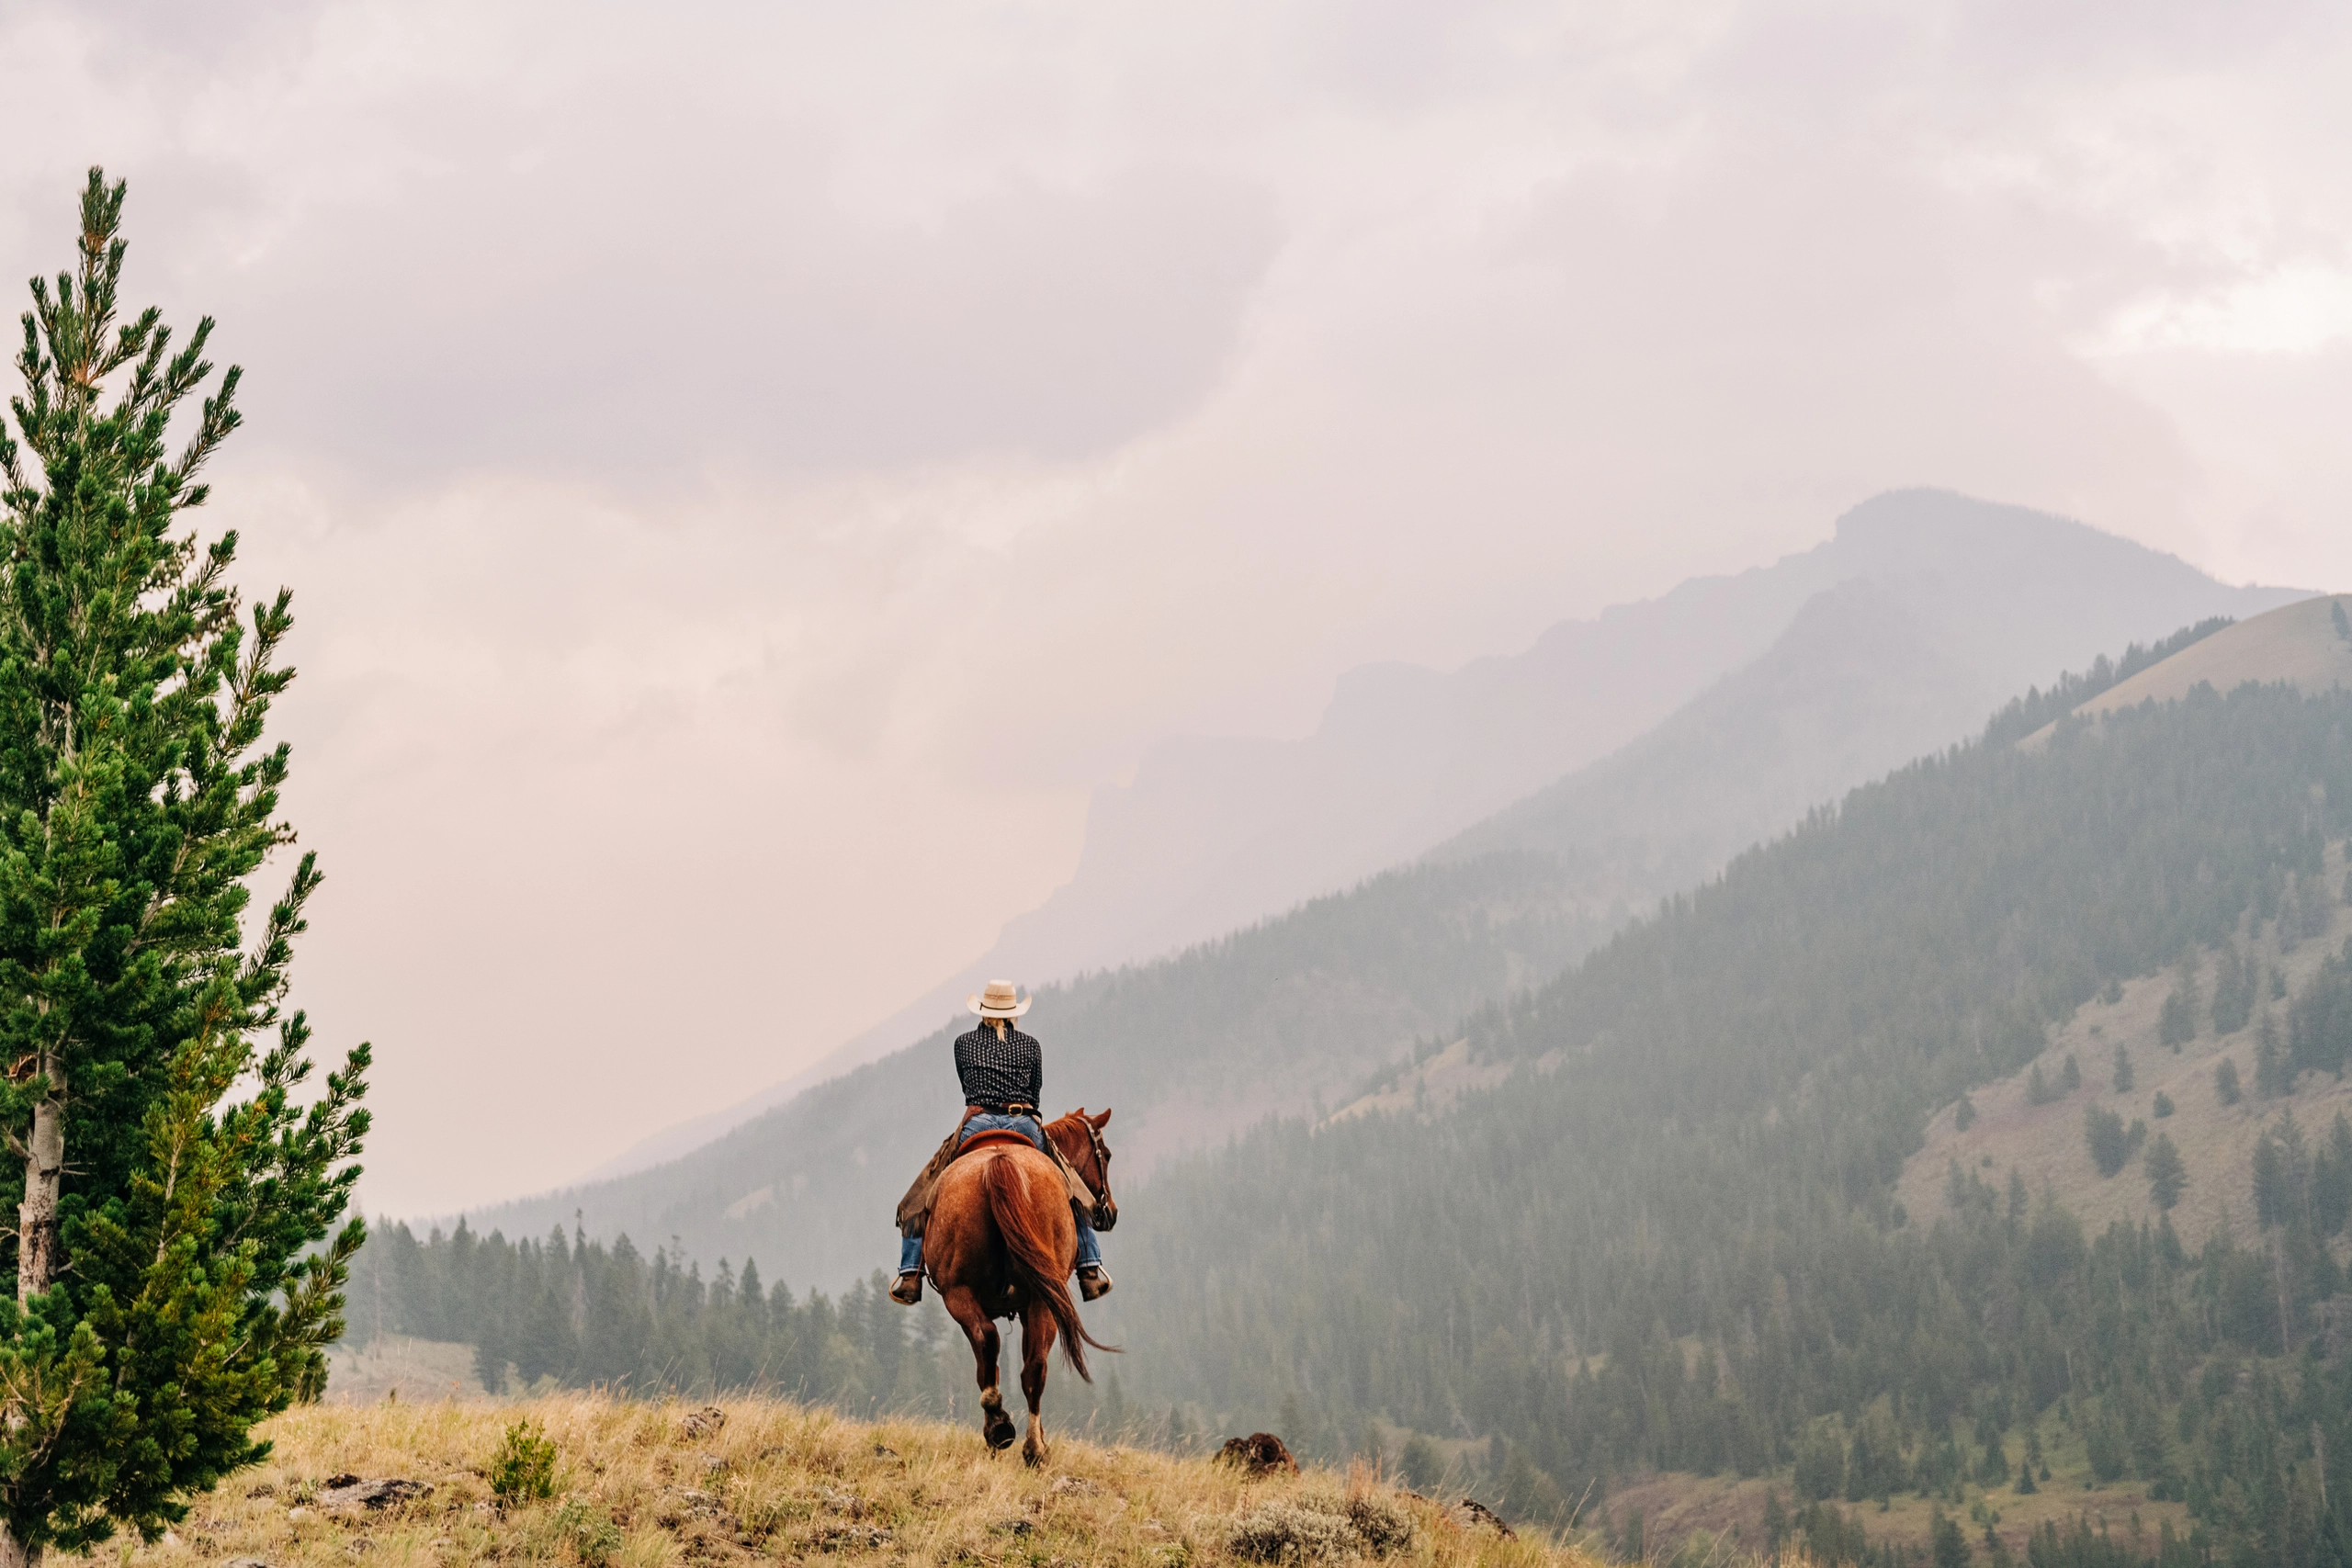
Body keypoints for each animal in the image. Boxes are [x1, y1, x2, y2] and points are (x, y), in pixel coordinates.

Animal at [926, 1109, 1119, 1466]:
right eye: (1107, 1155)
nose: (1110, 1212)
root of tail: (999, 1162)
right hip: (1034, 1299)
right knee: (1028, 1366)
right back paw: (1028, 1444)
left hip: (961, 1293)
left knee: (993, 1346)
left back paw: (1004, 1429)